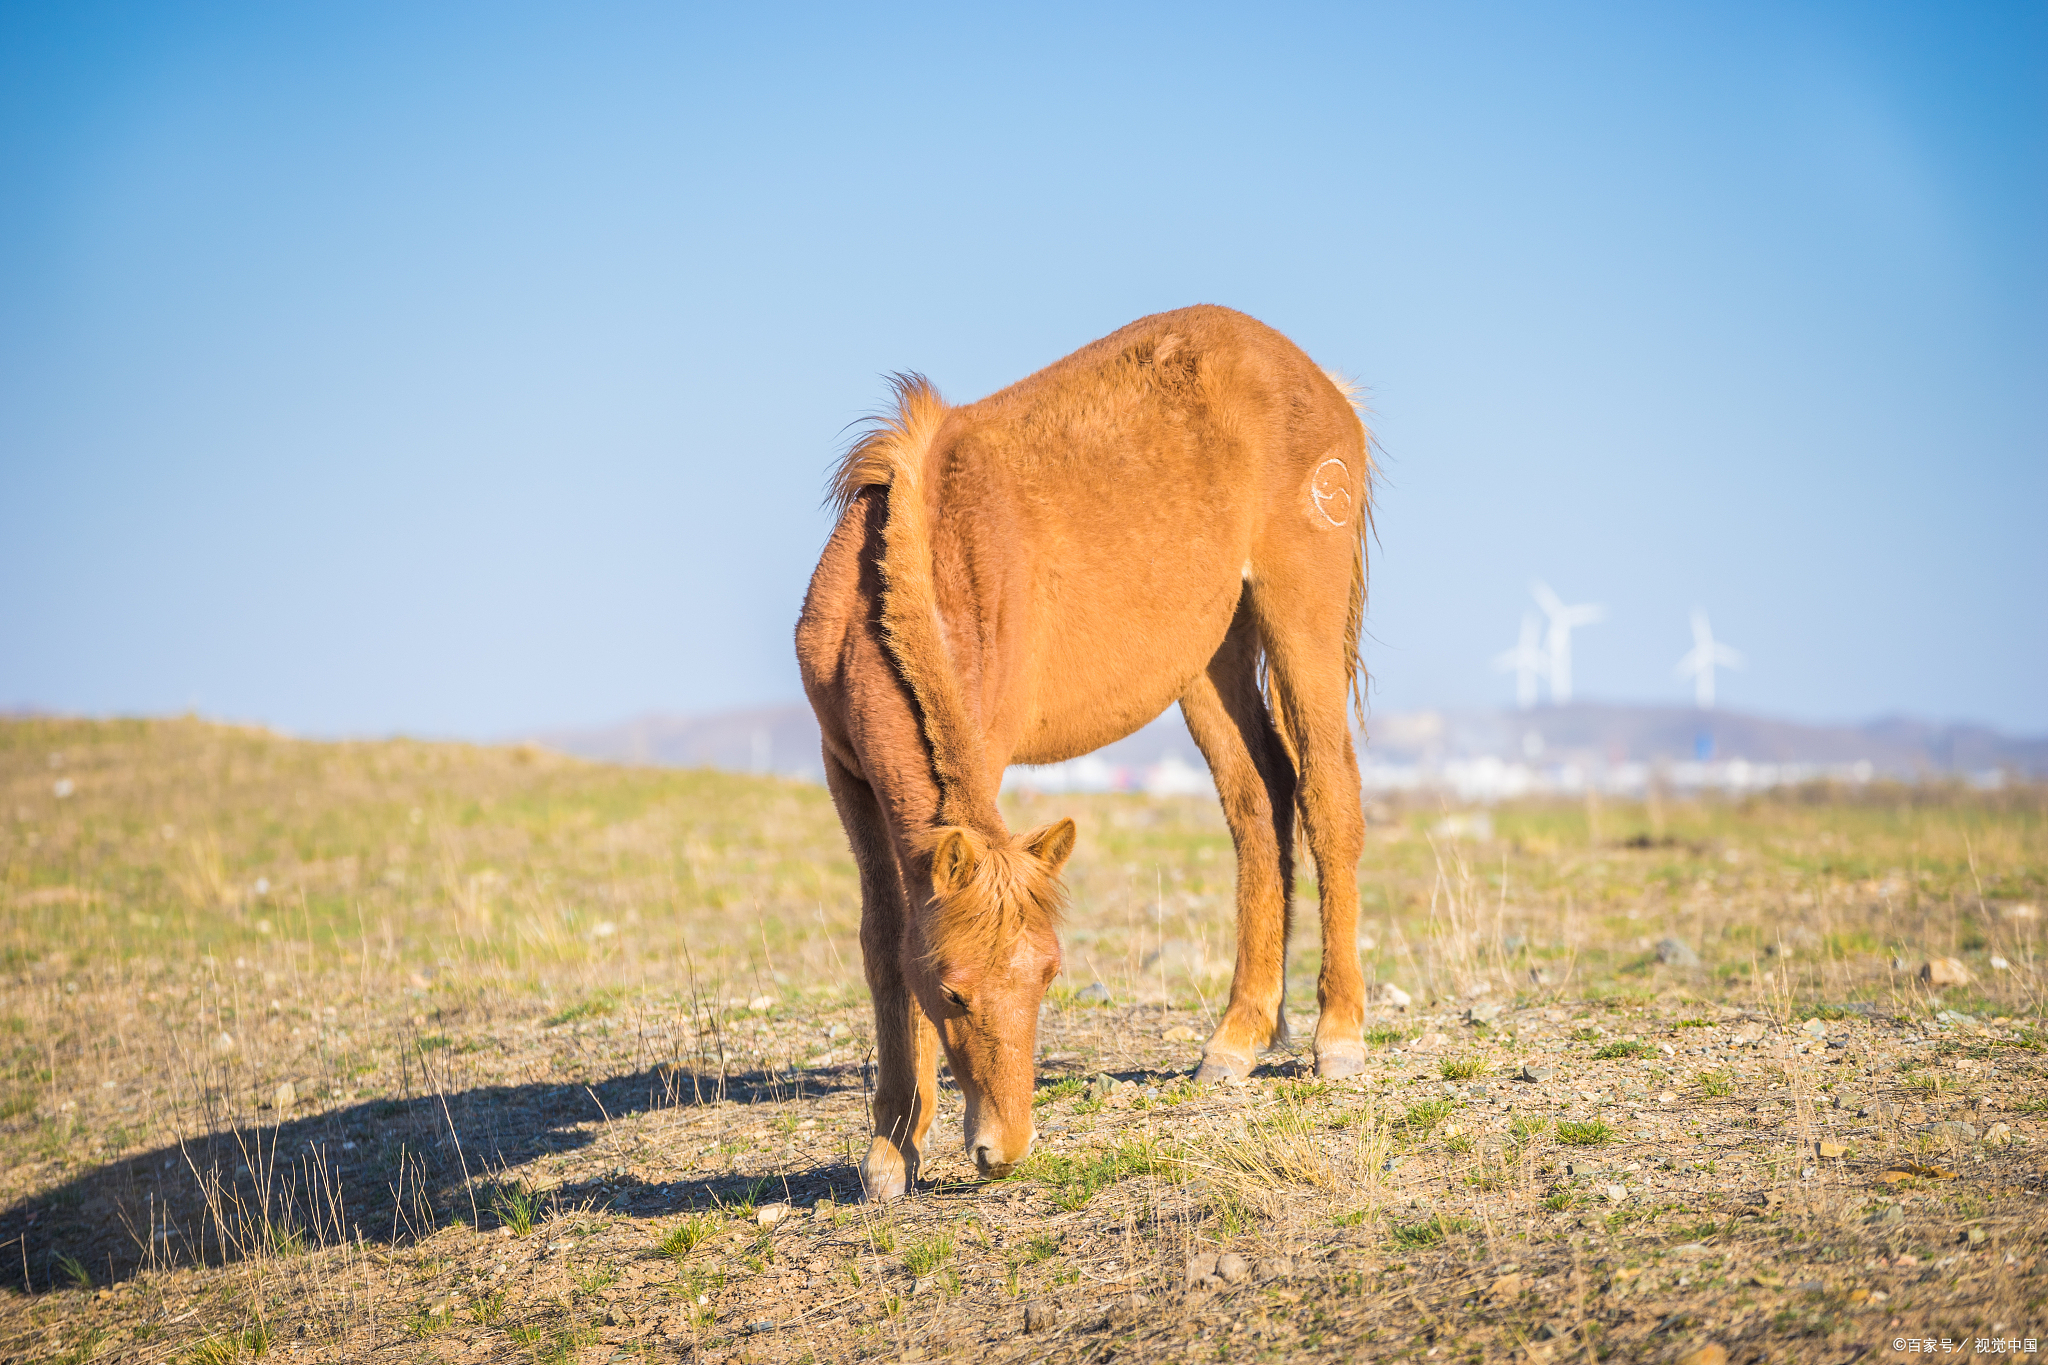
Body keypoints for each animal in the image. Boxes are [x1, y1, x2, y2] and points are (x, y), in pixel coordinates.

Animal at [798, 304, 1376, 1203]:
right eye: (954, 991)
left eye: (1046, 977)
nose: (1004, 1147)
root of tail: (1321, 384)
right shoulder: (844, 770)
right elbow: (884, 944)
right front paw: (892, 1147)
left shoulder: (984, 750)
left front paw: (899, 1144)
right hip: (1208, 655)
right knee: (1260, 802)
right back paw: (1238, 1037)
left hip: (1297, 619)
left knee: (1326, 796)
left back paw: (1338, 1036)